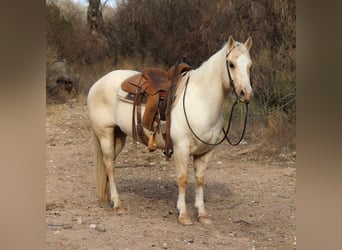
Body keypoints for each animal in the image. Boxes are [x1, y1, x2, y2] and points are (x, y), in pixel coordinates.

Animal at [87, 35, 254, 225]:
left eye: (250, 65)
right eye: (231, 64)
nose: (246, 93)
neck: (200, 100)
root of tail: (97, 83)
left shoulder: (206, 152)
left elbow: (200, 180)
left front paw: (202, 214)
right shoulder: (181, 148)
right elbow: (182, 179)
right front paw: (183, 214)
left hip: (118, 136)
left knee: (110, 164)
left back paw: (109, 198)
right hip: (105, 134)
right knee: (109, 165)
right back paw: (117, 204)